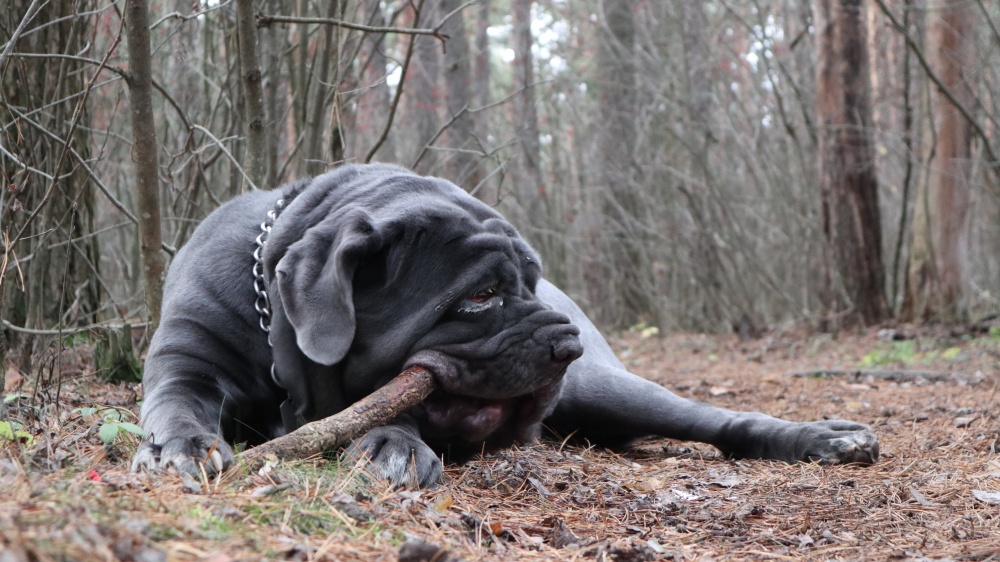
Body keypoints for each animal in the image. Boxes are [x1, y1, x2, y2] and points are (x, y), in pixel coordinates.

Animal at [131, 162, 876, 486]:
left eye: (532, 280)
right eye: (481, 295)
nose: (565, 341)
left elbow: (385, 411)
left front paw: (388, 444)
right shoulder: (189, 354)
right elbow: (176, 399)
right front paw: (181, 447)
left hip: (614, 390)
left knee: (717, 420)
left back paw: (828, 438)